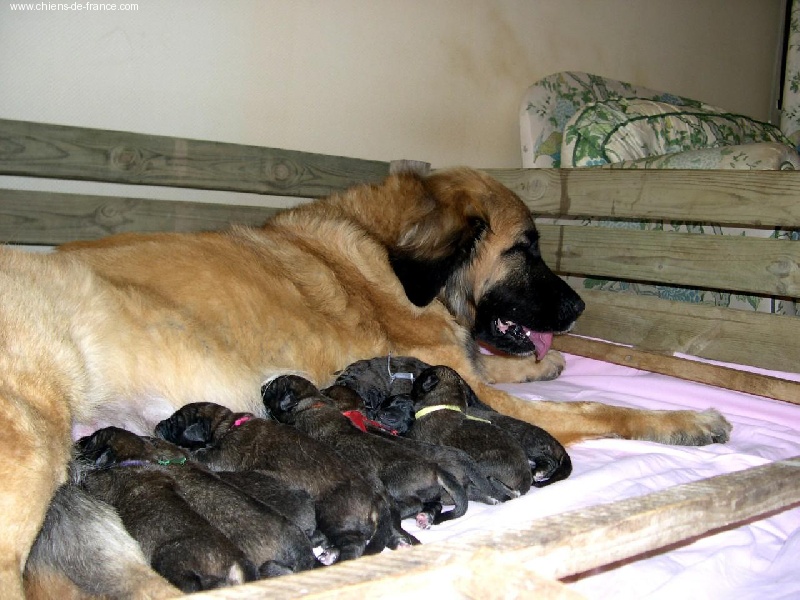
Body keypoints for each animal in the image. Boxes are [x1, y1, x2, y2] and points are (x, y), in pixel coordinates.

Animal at [155, 400, 410, 560]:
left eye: (175, 421)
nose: (157, 425)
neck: (227, 425)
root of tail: (375, 499)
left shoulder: (223, 456)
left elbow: (203, 454)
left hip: (334, 515)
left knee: (354, 544)